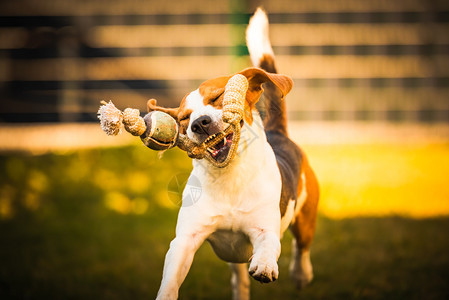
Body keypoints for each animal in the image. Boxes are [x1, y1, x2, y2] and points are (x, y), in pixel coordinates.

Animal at [150, 8, 318, 298]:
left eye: (218, 98)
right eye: (184, 118)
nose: (199, 123)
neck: (228, 176)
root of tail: (279, 133)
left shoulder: (265, 229)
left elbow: (268, 245)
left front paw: (265, 265)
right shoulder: (185, 240)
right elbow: (171, 278)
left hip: (306, 217)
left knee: (302, 247)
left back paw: (301, 273)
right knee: (240, 279)